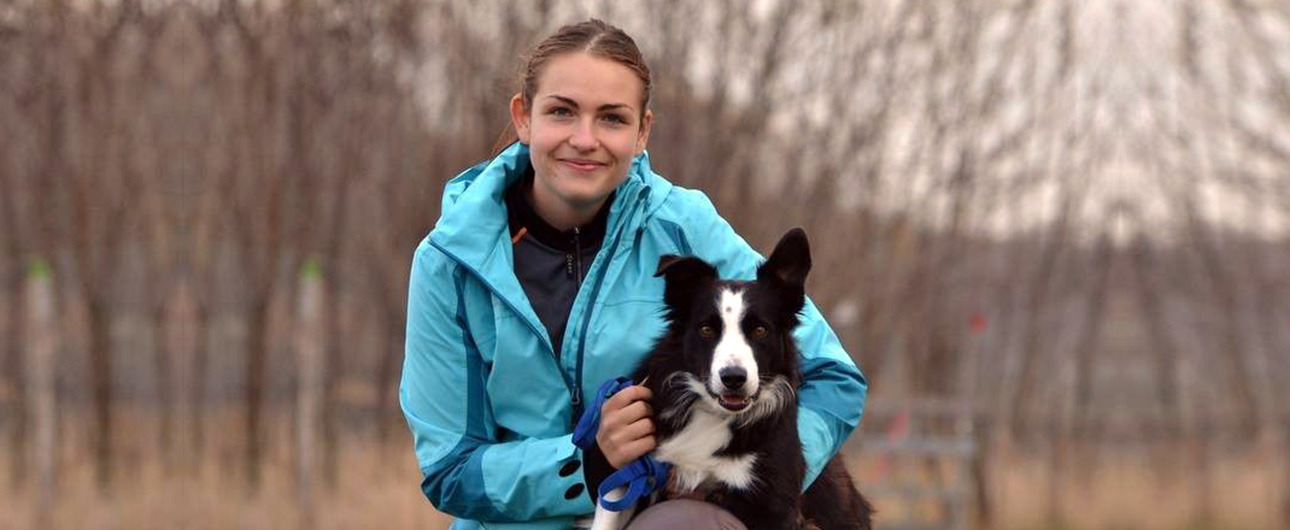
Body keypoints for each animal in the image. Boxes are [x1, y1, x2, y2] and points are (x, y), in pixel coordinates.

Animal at [591, 228, 873, 530]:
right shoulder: (632, 477)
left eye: (760, 330)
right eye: (706, 329)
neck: (711, 414)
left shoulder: (772, 506)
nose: (733, 378)